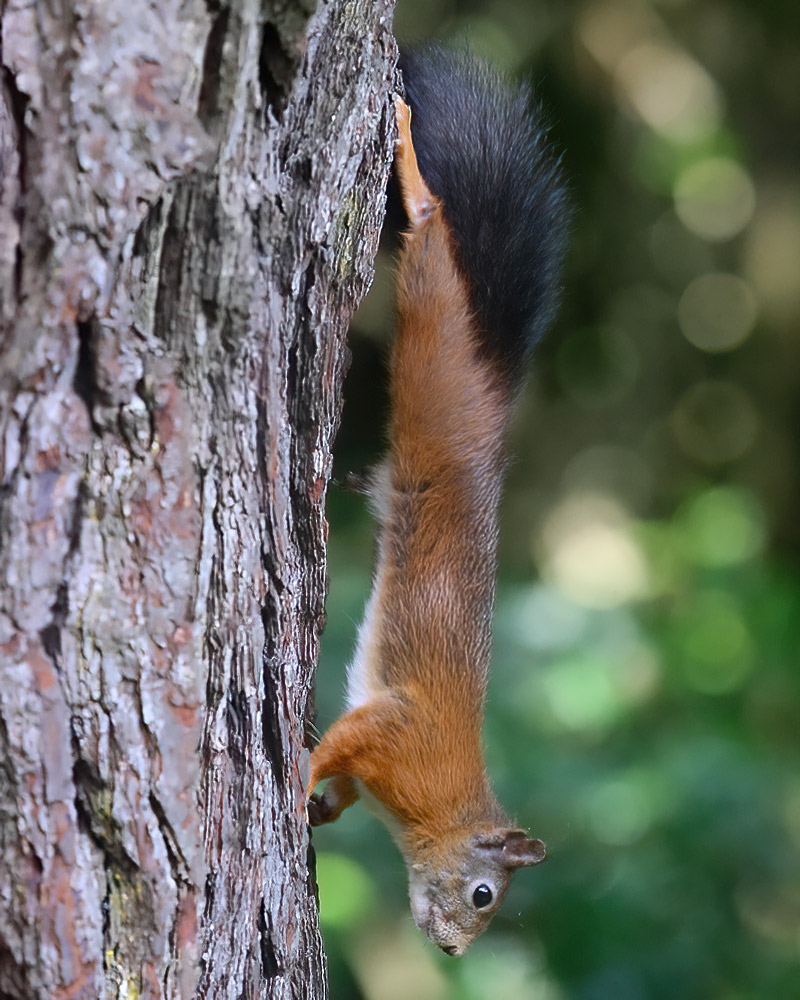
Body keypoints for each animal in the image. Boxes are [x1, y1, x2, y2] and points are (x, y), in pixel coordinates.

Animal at [307, 46, 569, 955]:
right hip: (432, 330)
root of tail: (490, 408)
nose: (451, 949)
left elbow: (343, 784)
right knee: (432, 227)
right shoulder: (400, 737)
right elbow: (338, 742)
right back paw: (410, 156)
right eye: (485, 894)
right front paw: (298, 779)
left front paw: (320, 811)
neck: (447, 811)